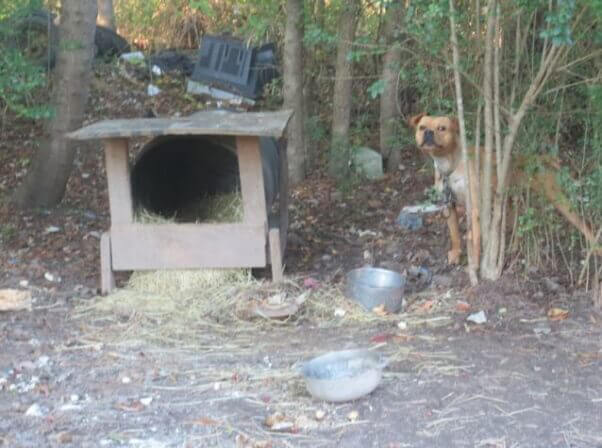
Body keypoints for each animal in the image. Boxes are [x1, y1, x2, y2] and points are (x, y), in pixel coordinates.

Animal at [408, 114, 596, 264]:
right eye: (422, 127)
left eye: (442, 128)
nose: (428, 133)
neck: (449, 164)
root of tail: (540, 159)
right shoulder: (449, 206)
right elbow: (454, 235)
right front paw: (455, 254)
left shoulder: (474, 207)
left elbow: (475, 238)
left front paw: (476, 263)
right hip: (510, 205)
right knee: (518, 223)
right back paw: (513, 247)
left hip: (560, 202)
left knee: (586, 226)